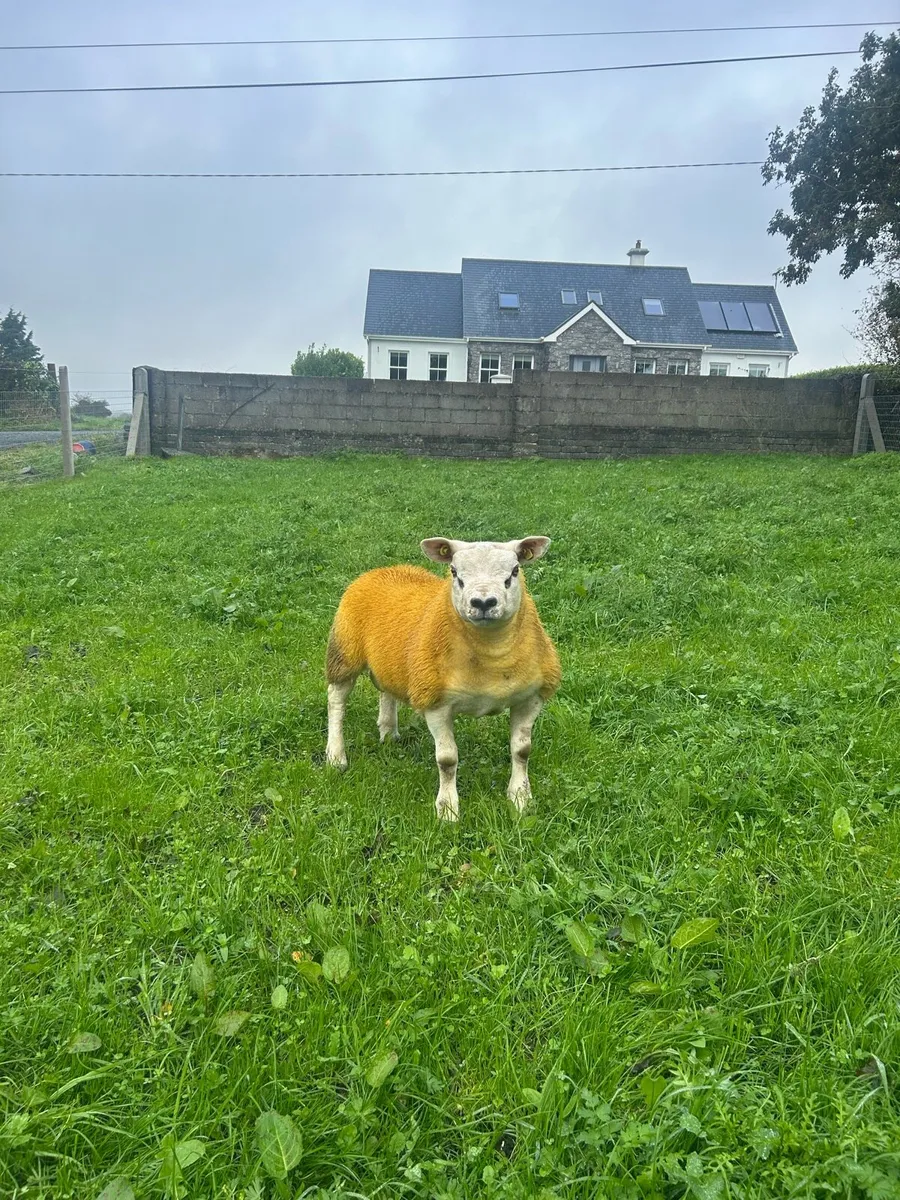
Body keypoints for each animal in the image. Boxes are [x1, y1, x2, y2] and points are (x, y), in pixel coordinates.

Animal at [325, 536, 561, 820]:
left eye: (514, 571)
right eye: (454, 572)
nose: (483, 603)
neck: (492, 656)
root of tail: (384, 570)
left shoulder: (531, 698)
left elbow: (522, 751)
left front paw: (521, 799)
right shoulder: (435, 701)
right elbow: (447, 760)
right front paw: (447, 811)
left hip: (392, 661)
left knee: (386, 690)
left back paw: (389, 732)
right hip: (344, 650)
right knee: (336, 701)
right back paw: (336, 756)